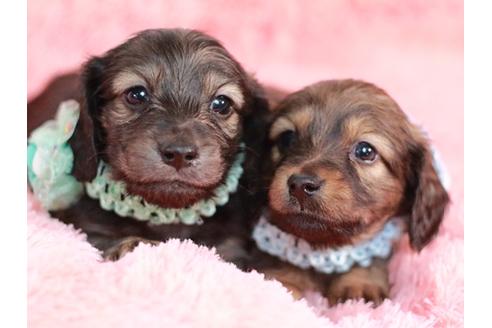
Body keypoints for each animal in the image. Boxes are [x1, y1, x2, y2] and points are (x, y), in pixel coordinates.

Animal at [250, 79, 450, 304]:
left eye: (365, 151)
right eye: (287, 138)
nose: (300, 185)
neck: (323, 252)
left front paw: (359, 284)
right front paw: (282, 286)